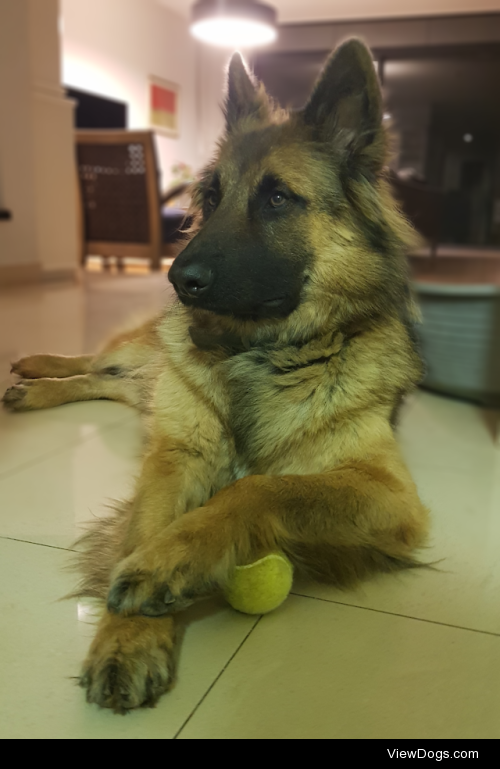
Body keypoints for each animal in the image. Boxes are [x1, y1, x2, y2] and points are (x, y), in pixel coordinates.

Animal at [1, 39, 428, 712]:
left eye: (278, 198)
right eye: (210, 197)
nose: (178, 280)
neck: (261, 350)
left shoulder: (388, 494)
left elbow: (259, 487)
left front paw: (168, 563)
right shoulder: (175, 456)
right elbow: (146, 526)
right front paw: (128, 636)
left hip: (145, 380)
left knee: (109, 382)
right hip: (145, 355)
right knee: (97, 363)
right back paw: (37, 370)